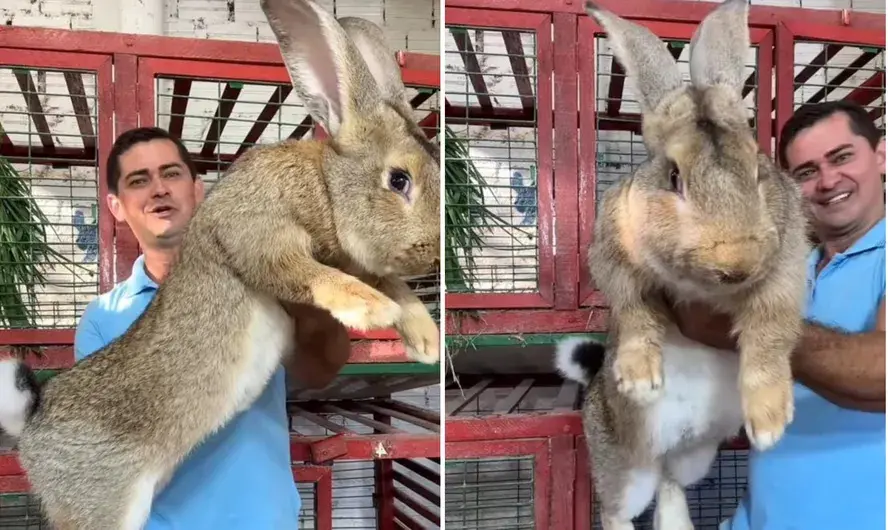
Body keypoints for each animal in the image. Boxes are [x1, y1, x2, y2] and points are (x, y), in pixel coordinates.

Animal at [0, 1, 440, 528]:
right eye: (399, 180)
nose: (433, 250)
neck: (325, 185)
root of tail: (32, 418)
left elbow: (396, 286)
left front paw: (425, 339)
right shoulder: (258, 235)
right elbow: (311, 274)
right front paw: (372, 308)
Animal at [554, 0, 810, 528]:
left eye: (757, 171)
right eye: (674, 176)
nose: (737, 263)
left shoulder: (785, 269)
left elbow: (770, 334)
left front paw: (770, 422)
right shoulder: (614, 256)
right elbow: (633, 309)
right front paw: (638, 378)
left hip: (694, 458)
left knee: (671, 484)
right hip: (625, 468)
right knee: (617, 508)